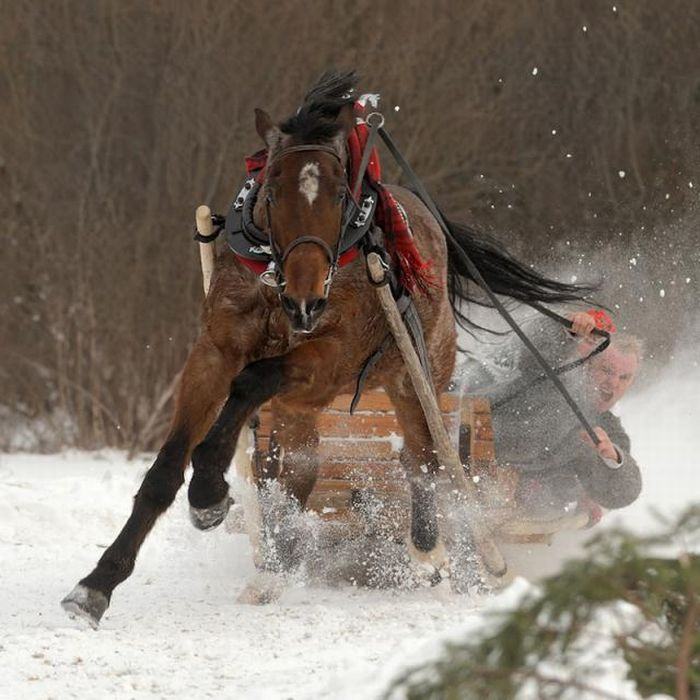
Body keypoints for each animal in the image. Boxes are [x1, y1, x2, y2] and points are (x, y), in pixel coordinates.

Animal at [61, 71, 584, 628]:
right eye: (270, 192)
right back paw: (274, 567)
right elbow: (168, 466)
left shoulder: (334, 358)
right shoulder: (216, 350)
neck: (275, 282)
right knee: (301, 465)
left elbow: (251, 380)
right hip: (304, 404)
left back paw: (428, 553)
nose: (306, 299)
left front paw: (207, 490)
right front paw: (97, 583)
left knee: (422, 457)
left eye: (338, 195)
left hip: (415, 374)